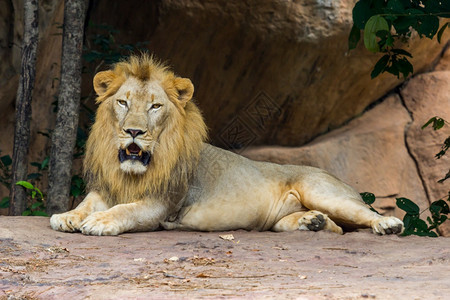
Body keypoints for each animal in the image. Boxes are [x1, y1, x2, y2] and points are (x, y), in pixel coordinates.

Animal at [50, 55, 404, 236]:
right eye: (122, 102)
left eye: (155, 106)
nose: (134, 131)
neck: (133, 171)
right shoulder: (106, 188)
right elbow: (85, 203)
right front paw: (67, 216)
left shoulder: (162, 202)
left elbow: (128, 210)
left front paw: (99, 222)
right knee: (336, 229)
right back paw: (312, 222)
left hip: (324, 192)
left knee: (363, 214)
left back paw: (386, 224)